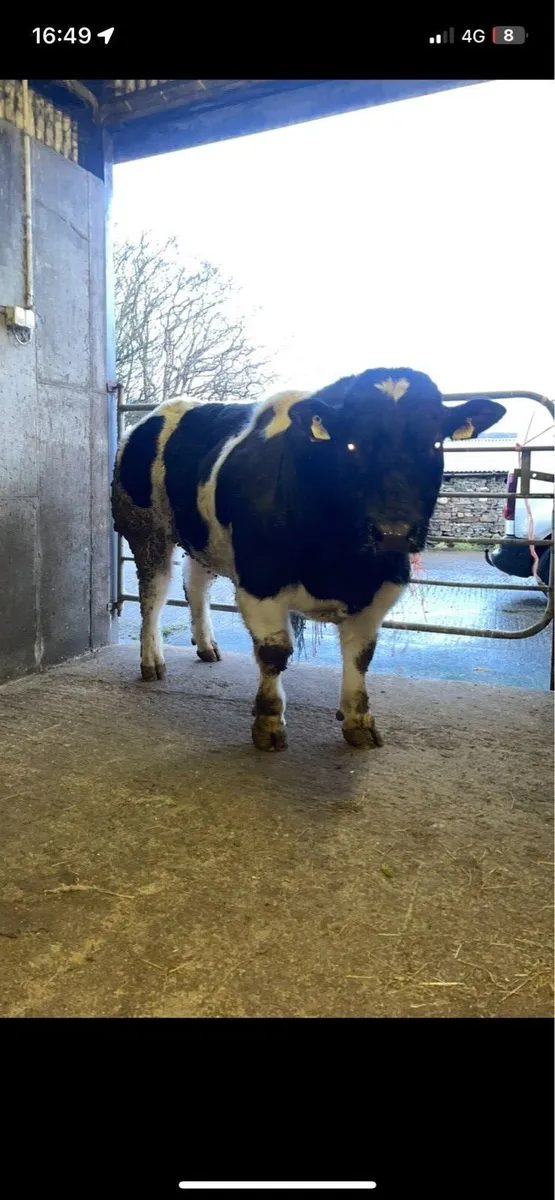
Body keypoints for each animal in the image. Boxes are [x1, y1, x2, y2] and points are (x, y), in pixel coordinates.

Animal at [111, 368, 505, 751]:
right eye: (351, 443)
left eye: (436, 443)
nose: (394, 531)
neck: (343, 566)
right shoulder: (260, 579)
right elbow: (274, 652)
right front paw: (268, 724)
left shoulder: (383, 585)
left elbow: (361, 655)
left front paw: (359, 722)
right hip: (146, 530)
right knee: (153, 595)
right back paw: (152, 659)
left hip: (205, 537)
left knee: (195, 583)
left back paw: (207, 645)